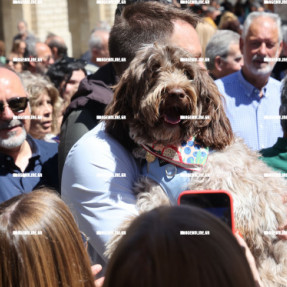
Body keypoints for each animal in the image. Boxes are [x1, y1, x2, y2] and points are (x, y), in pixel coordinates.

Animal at [104, 45, 287, 287]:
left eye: (187, 73)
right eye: (155, 69)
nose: (176, 93)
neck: (172, 154)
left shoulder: (242, 199)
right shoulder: (154, 189)